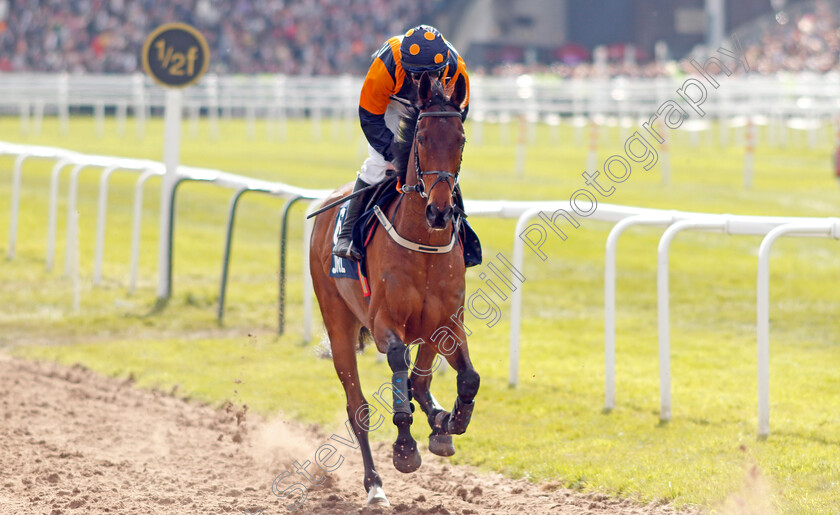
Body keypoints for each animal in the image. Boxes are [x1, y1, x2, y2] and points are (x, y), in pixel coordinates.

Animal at [308, 72, 480, 508]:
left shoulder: (447, 321)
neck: (424, 244)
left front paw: (451, 421)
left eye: (460, 139)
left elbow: (465, 377)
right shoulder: (386, 322)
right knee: (358, 409)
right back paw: (374, 485)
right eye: (422, 139)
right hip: (339, 325)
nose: (440, 211)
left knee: (420, 380)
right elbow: (400, 366)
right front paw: (405, 448)